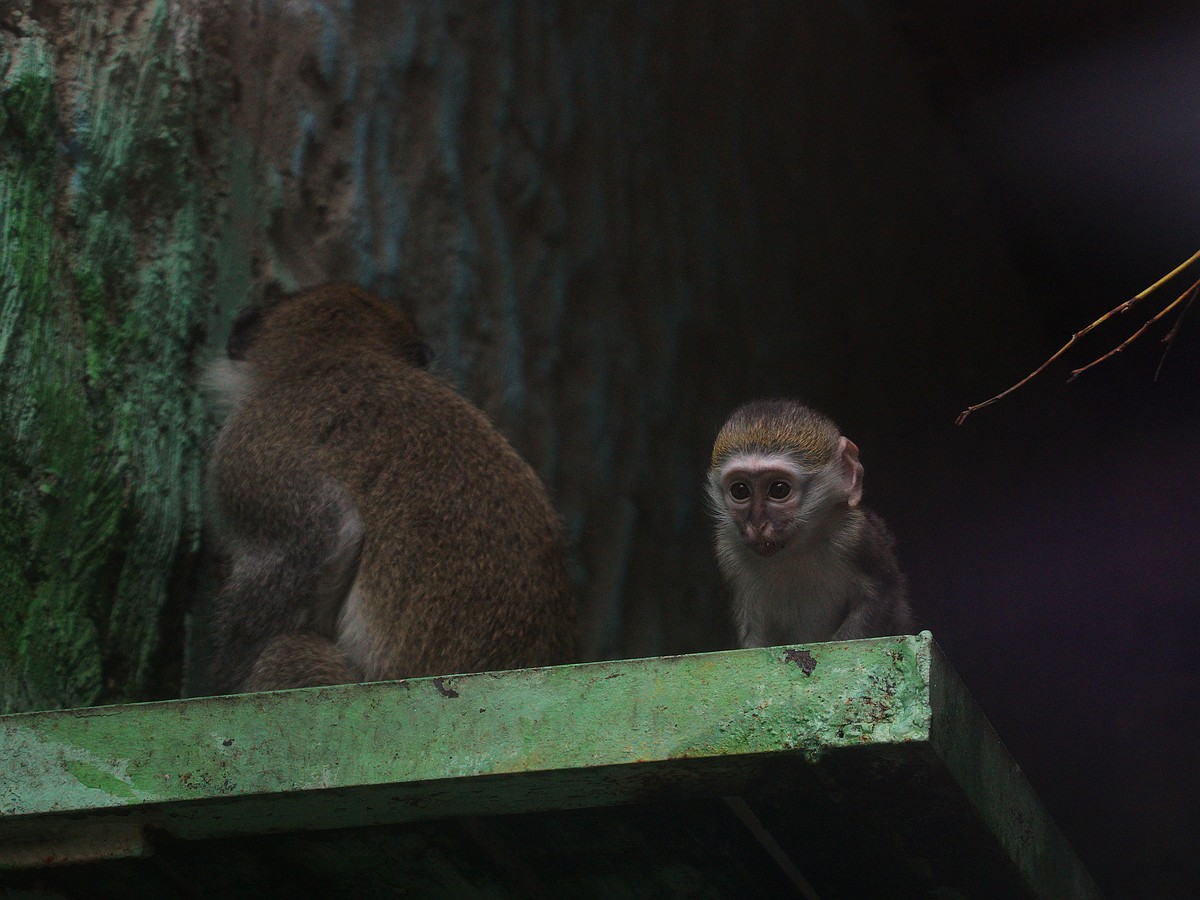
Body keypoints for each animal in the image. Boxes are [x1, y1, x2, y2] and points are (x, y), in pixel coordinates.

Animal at [700, 400, 907, 648]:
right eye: (740, 490)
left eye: (779, 489)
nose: (758, 524)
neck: (796, 549)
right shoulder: (727, 551)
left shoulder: (855, 536)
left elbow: (881, 596)